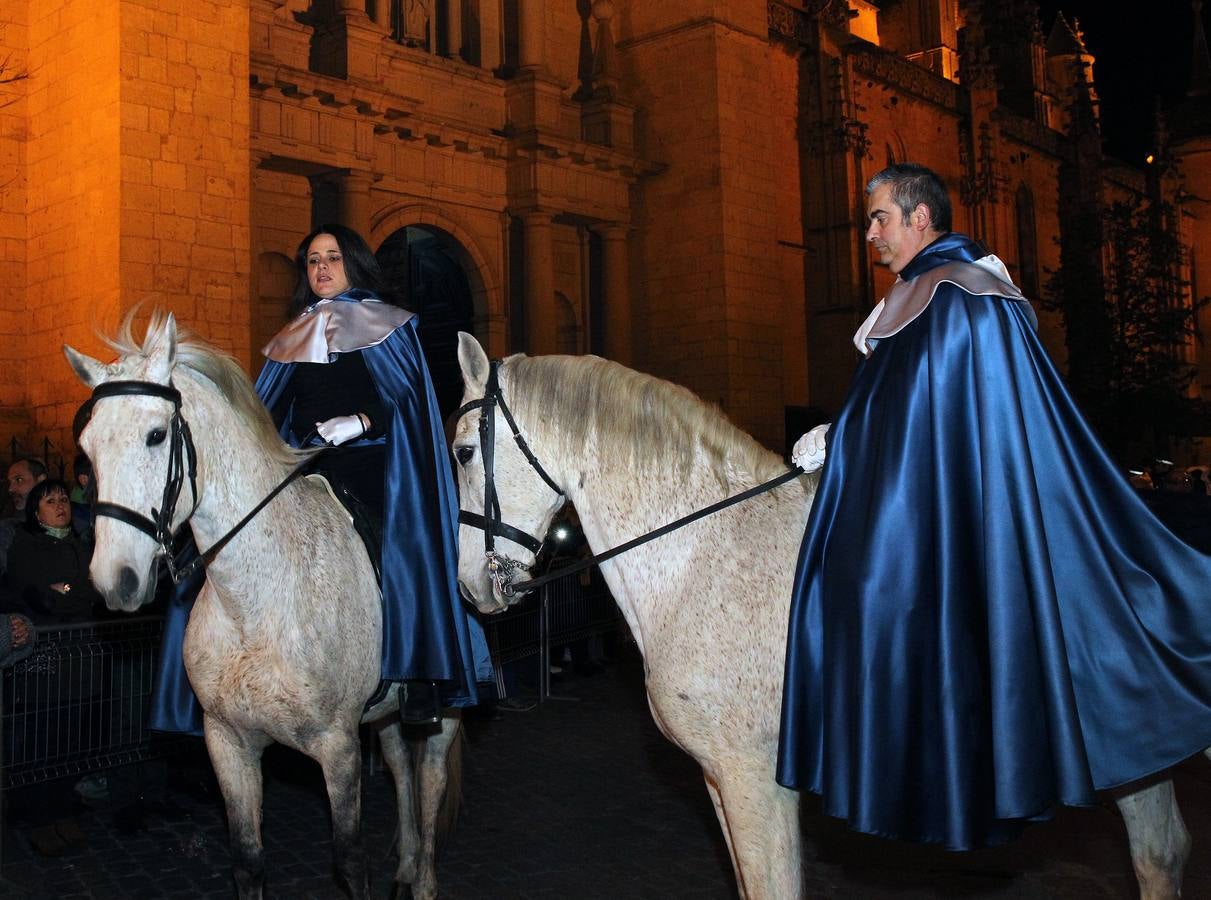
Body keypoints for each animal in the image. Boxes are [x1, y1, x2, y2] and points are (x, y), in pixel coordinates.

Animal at [68, 312, 460, 900]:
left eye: (156, 435)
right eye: (88, 448)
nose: (117, 581)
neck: (255, 608)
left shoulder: (338, 747)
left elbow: (350, 860)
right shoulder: (227, 742)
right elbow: (248, 860)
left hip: (449, 703)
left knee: (431, 778)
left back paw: (427, 880)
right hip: (386, 710)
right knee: (399, 764)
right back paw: (408, 866)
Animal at [452, 334, 1201, 896]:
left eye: (461, 451)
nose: (469, 587)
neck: (703, 552)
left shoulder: (754, 779)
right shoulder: (721, 780)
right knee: (1160, 853)